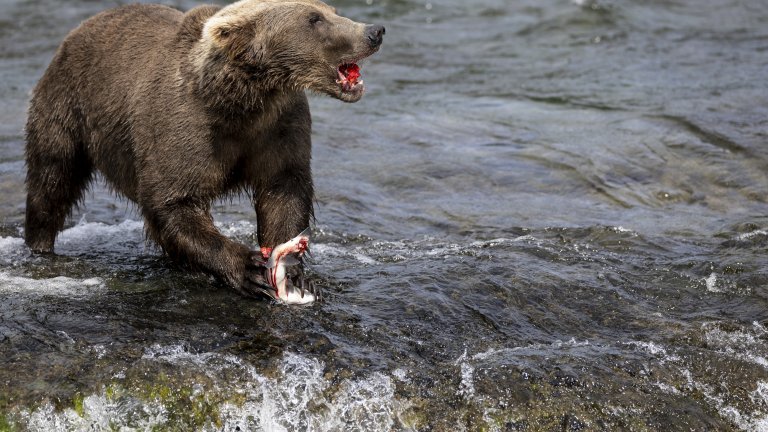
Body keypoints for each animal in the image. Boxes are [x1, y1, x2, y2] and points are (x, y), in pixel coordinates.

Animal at [24, 0, 384, 304]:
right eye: (314, 19)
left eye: (331, 10)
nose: (374, 31)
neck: (244, 101)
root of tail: (79, 29)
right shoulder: (185, 126)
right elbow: (173, 200)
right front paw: (249, 269)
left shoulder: (279, 127)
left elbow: (285, 188)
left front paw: (294, 272)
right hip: (67, 105)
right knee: (52, 179)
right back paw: (40, 246)